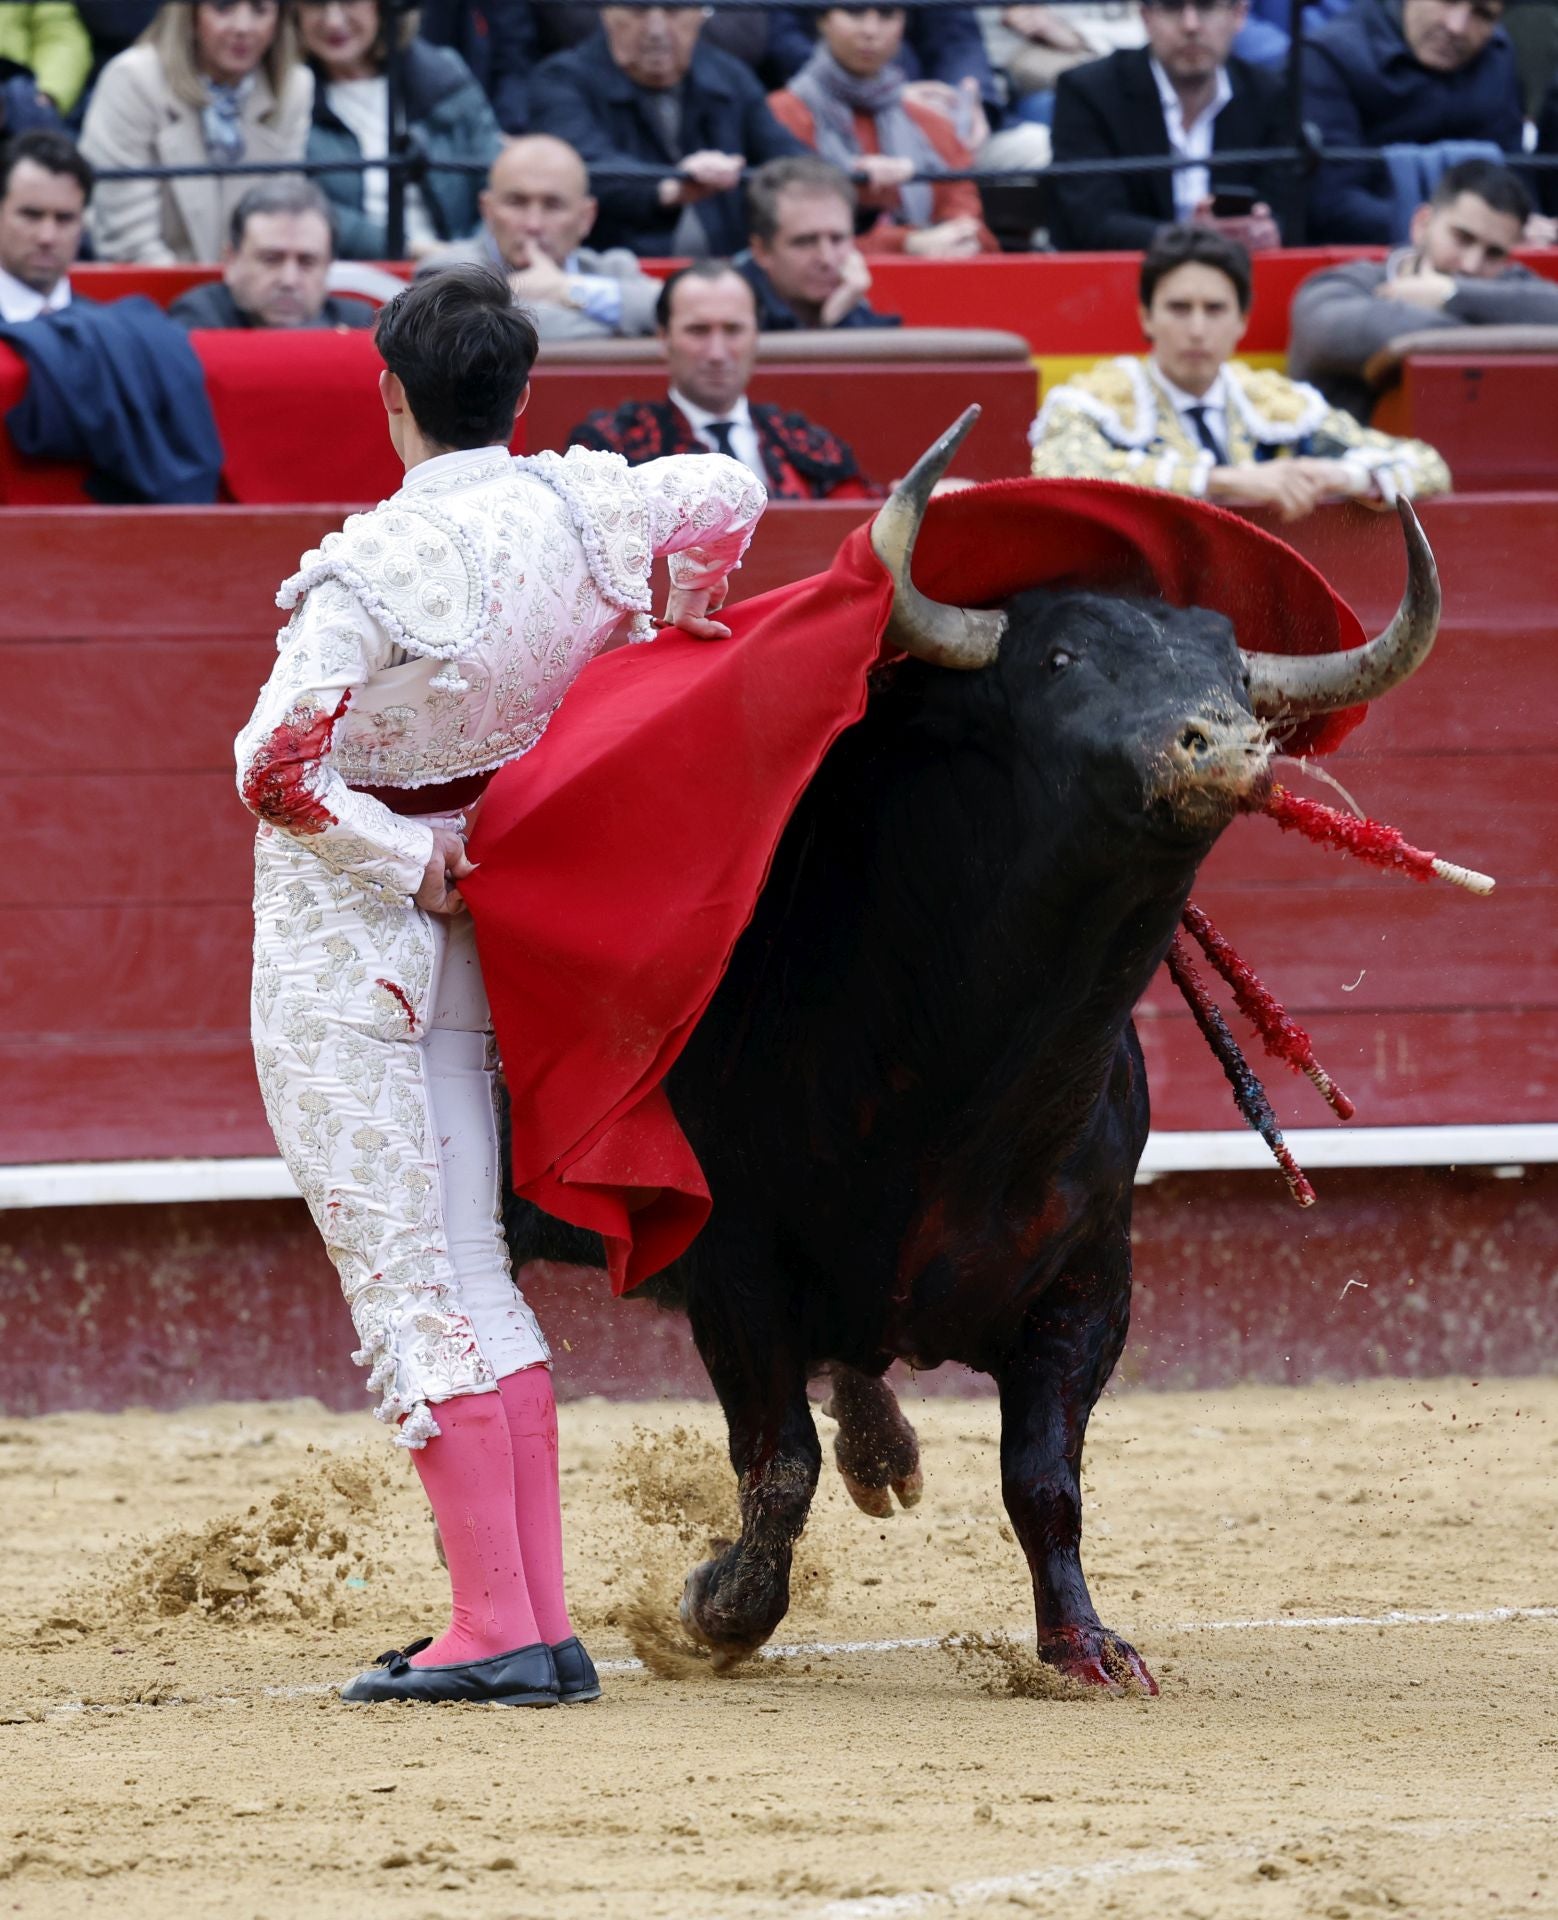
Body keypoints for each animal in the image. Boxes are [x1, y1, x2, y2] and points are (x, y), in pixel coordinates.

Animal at [507, 420, 1436, 1697]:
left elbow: (1043, 1480)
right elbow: (775, 1465)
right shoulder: (733, 1266)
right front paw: (713, 1610)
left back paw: (886, 1455)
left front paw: (1086, 1647)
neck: (963, 1095)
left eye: (1241, 677)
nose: (1223, 744)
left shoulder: (1090, 1282)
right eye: (1058, 660)